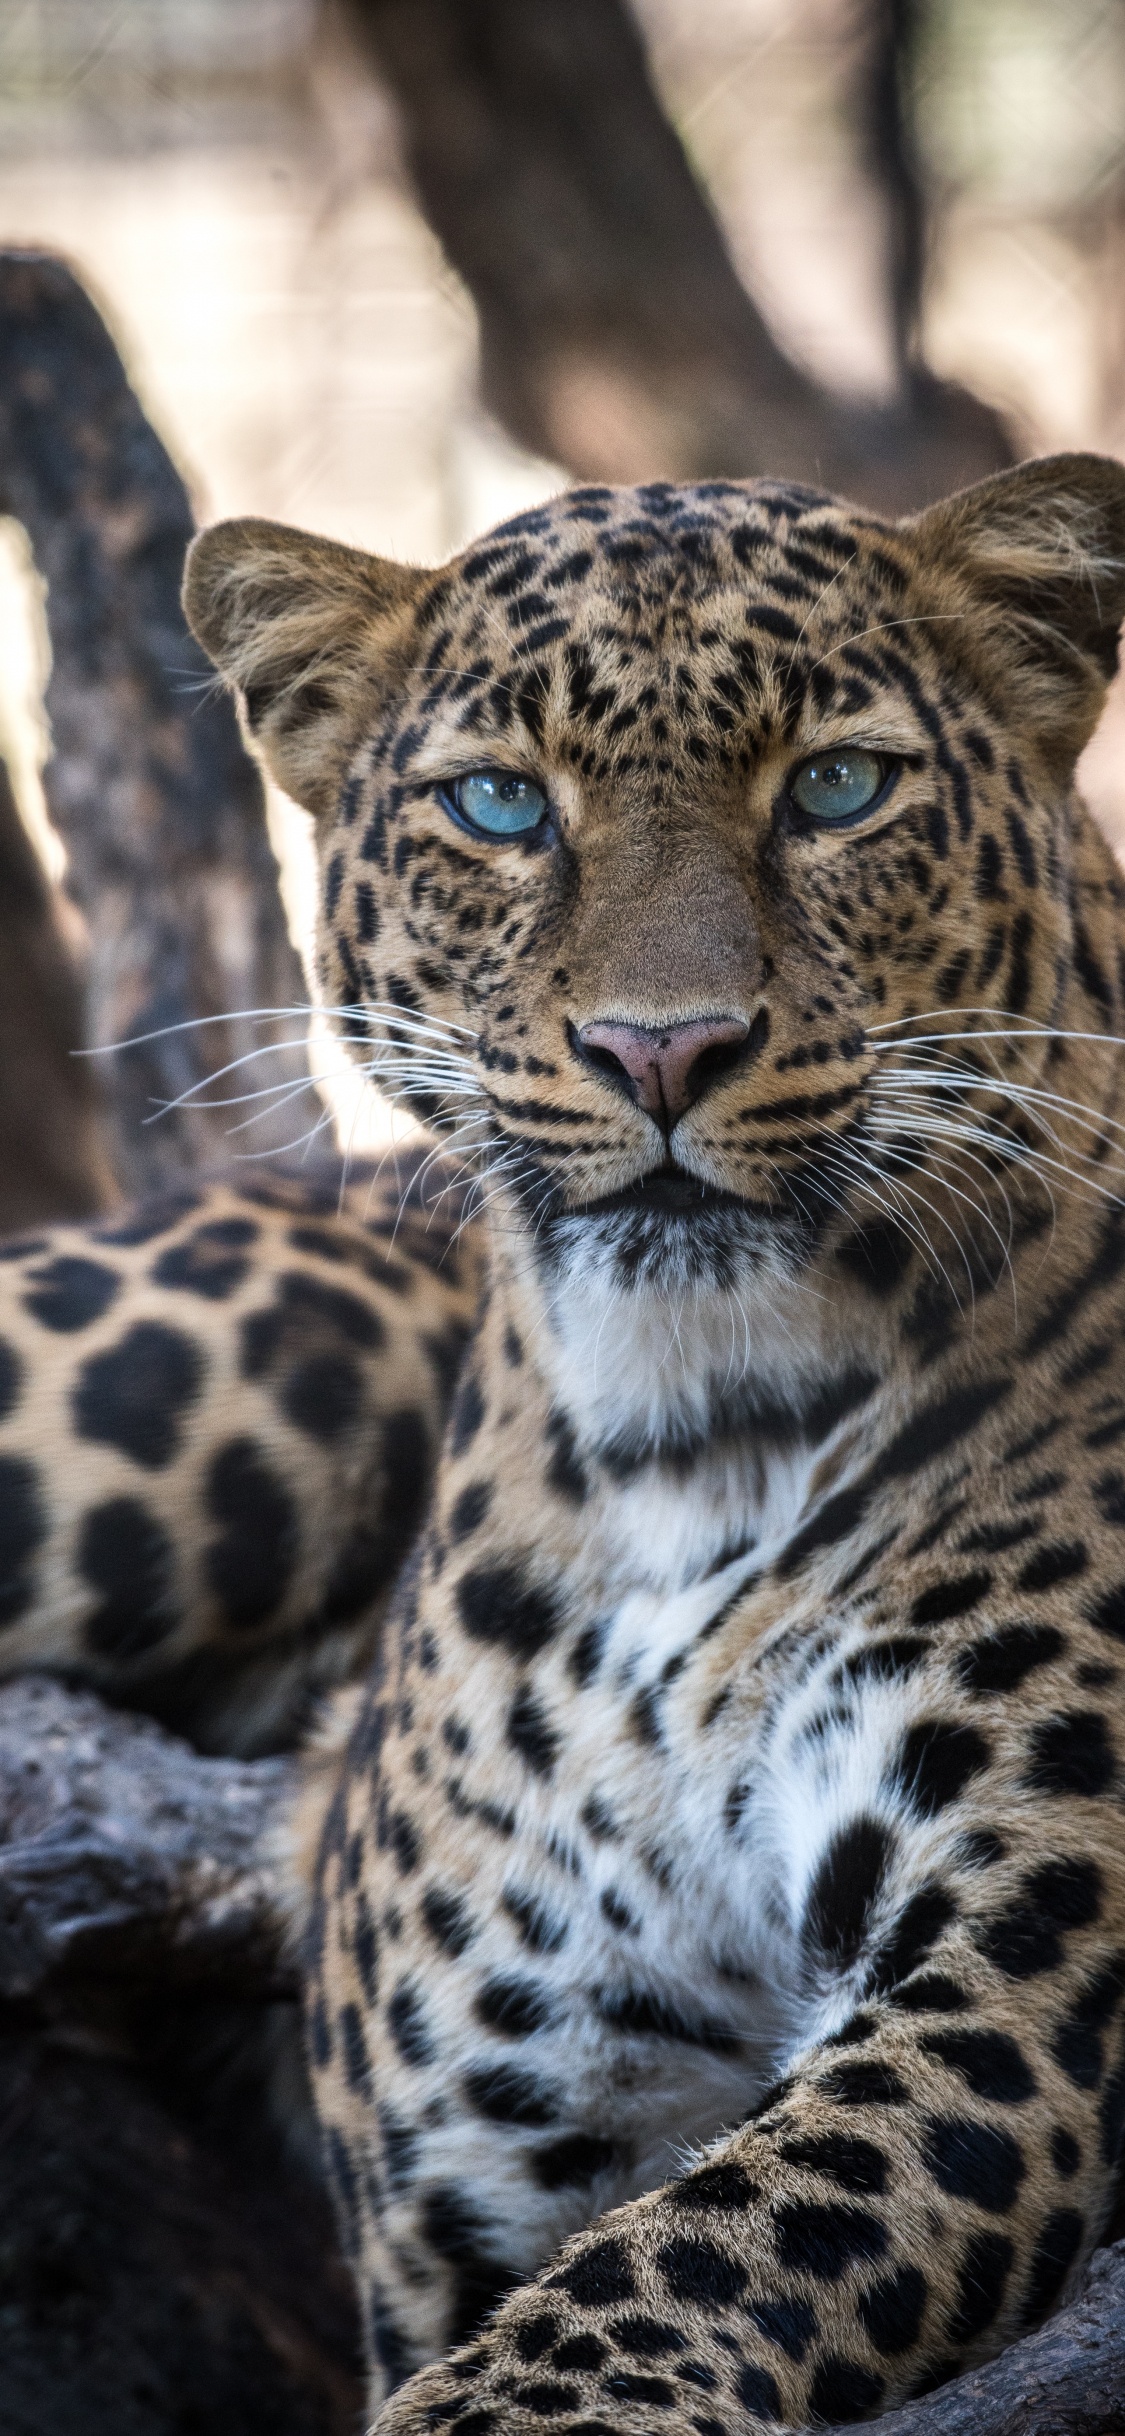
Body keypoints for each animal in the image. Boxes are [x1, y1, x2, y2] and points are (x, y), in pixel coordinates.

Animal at [74, 447, 1125, 2431]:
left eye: (837, 785)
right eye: (498, 804)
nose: (663, 1050)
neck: (685, 1440)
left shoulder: (1026, 1967)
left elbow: (686, 2261)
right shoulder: (496, 2145)